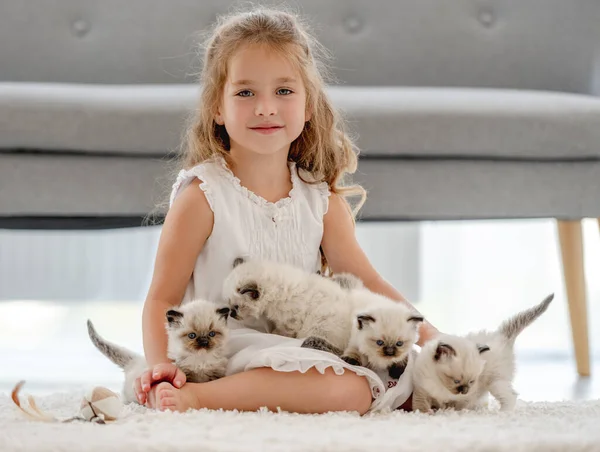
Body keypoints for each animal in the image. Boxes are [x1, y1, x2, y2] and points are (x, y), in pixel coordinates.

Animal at [86, 300, 230, 402]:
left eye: (212, 334)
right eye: (192, 336)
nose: (204, 342)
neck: (200, 360)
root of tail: (134, 362)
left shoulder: (215, 374)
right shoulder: (185, 374)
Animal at [412, 294, 552, 414]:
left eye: (471, 382)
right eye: (456, 381)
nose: (464, 391)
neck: (440, 384)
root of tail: (501, 337)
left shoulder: (469, 395)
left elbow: (457, 405)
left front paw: (451, 412)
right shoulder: (421, 389)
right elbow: (420, 404)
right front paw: (425, 412)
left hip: (495, 381)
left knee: (511, 396)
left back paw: (503, 413)